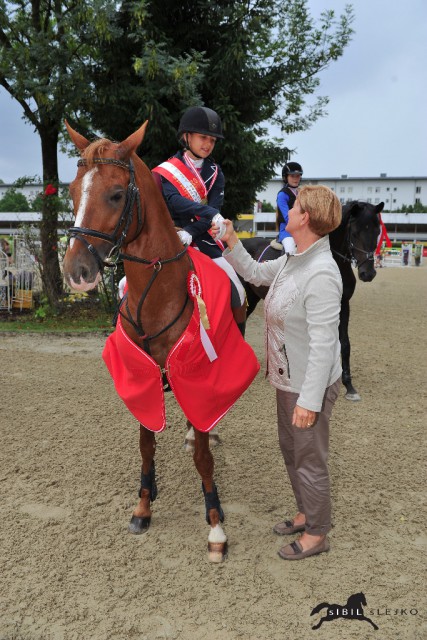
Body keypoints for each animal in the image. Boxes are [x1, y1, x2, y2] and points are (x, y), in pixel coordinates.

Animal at [61, 120, 258, 560]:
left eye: (117, 194)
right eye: (71, 190)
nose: (77, 273)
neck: (156, 294)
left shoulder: (198, 371)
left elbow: (203, 457)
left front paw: (215, 524)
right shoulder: (142, 375)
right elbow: (146, 444)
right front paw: (143, 505)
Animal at [241, 200, 384, 400]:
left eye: (377, 231)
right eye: (355, 232)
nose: (368, 273)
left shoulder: (343, 304)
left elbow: (345, 343)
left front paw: (349, 385)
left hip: (253, 298)